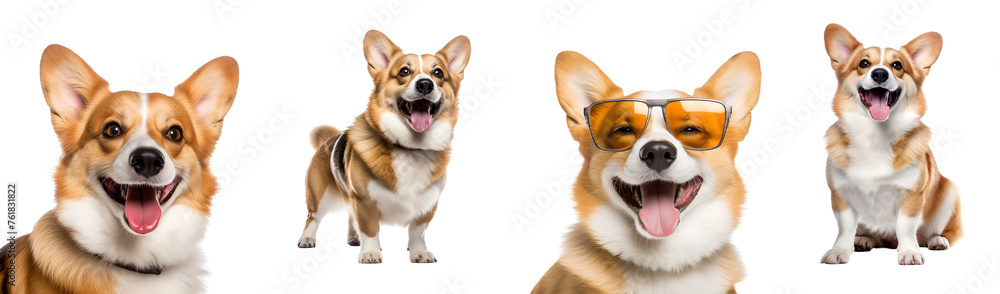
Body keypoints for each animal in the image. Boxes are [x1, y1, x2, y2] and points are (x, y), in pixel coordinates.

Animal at [294, 30, 470, 264]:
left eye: (438, 73)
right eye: (404, 71)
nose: (425, 84)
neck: (411, 148)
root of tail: (330, 138)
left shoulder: (428, 204)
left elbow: (417, 232)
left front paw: (419, 252)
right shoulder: (364, 200)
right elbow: (370, 229)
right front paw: (370, 253)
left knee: (350, 215)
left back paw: (354, 238)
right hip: (319, 196)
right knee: (312, 217)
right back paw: (307, 239)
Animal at [820, 24, 960, 266]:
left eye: (897, 65)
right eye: (864, 63)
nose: (879, 73)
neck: (875, 136)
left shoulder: (911, 194)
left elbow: (905, 226)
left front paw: (909, 252)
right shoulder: (840, 194)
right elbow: (845, 228)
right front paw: (839, 251)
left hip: (950, 192)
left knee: (938, 233)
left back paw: (937, 240)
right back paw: (863, 240)